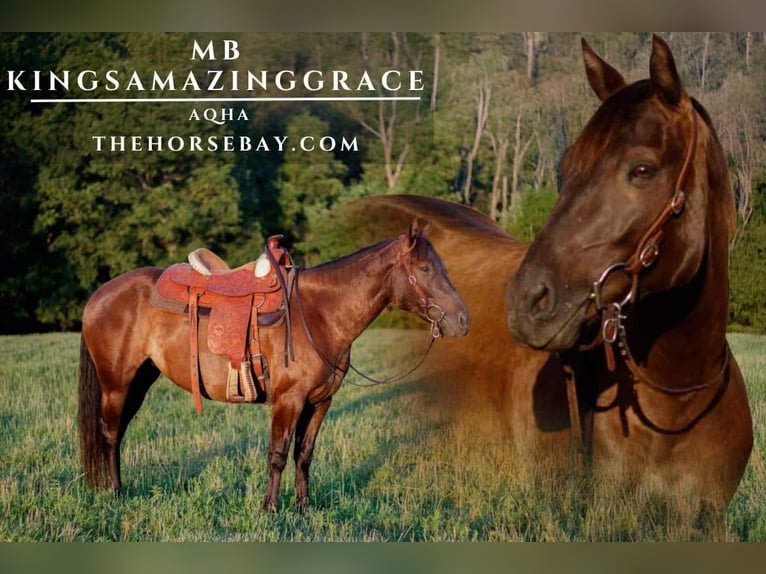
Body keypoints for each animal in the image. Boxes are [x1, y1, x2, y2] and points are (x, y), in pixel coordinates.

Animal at [78, 220, 469, 511]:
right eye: (424, 268)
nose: (463, 321)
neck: (319, 313)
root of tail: (100, 293)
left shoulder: (320, 402)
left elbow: (304, 454)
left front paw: (304, 506)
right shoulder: (288, 400)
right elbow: (278, 454)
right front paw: (270, 508)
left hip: (140, 380)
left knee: (117, 433)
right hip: (116, 382)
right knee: (109, 433)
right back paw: (115, 493)